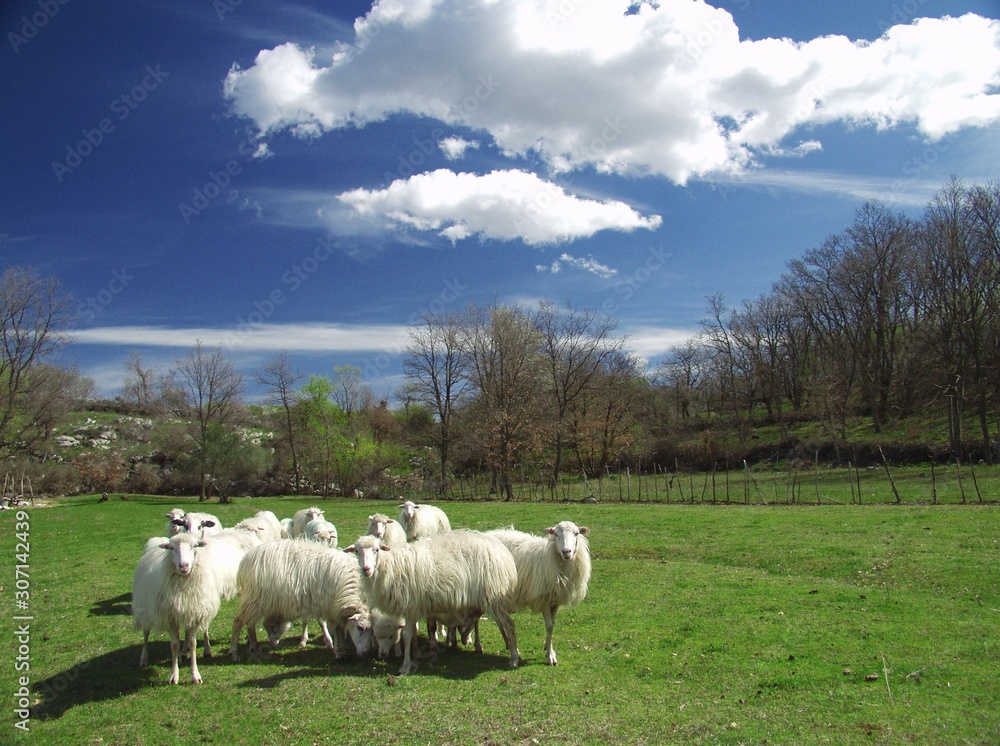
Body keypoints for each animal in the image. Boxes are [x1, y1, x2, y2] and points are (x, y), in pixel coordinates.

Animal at [131, 532, 222, 684]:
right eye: (172, 548)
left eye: (193, 546)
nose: (184, 565)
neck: (184, 589)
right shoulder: (169, 618)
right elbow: (173, 645)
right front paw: (174, 675)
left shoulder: (193, 614)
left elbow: (192, 643)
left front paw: (195, 675)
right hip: (146, 610)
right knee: (146, 634)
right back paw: (144, 659)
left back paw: (180, 657)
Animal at [229, 540, 371, 662]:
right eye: (360, 627)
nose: (365, 654)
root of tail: (248, 557)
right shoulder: (330, 606)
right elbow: (335, 627)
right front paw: (337, 650)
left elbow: (337, 627)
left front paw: (340, 648)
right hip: (255, 598)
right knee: (238, 622)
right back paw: (234, 653)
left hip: (258, 601)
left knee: (250, 622)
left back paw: (253, 645)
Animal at [345, 530, 519, 675]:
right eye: (356, 551)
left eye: (376, 550)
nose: (366, 569)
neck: (392, 568)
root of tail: (502, 551)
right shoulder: (414, 608)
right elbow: (415, 634)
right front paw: (416, 659)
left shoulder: (410, 605)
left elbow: (407, 636)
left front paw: (405, 666)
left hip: (494, 595)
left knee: (509, 625)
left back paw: (514, 658)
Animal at [486, 521, 591, 666]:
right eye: (556, 534)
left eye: (576, 533)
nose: (566, 551)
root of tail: (488, 533)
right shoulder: (544, 599)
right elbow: (550, 626)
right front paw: (550, 656)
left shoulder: (555, 600)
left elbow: (552, 624)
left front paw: (548, 647)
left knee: (499, 619)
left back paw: (508, 644)